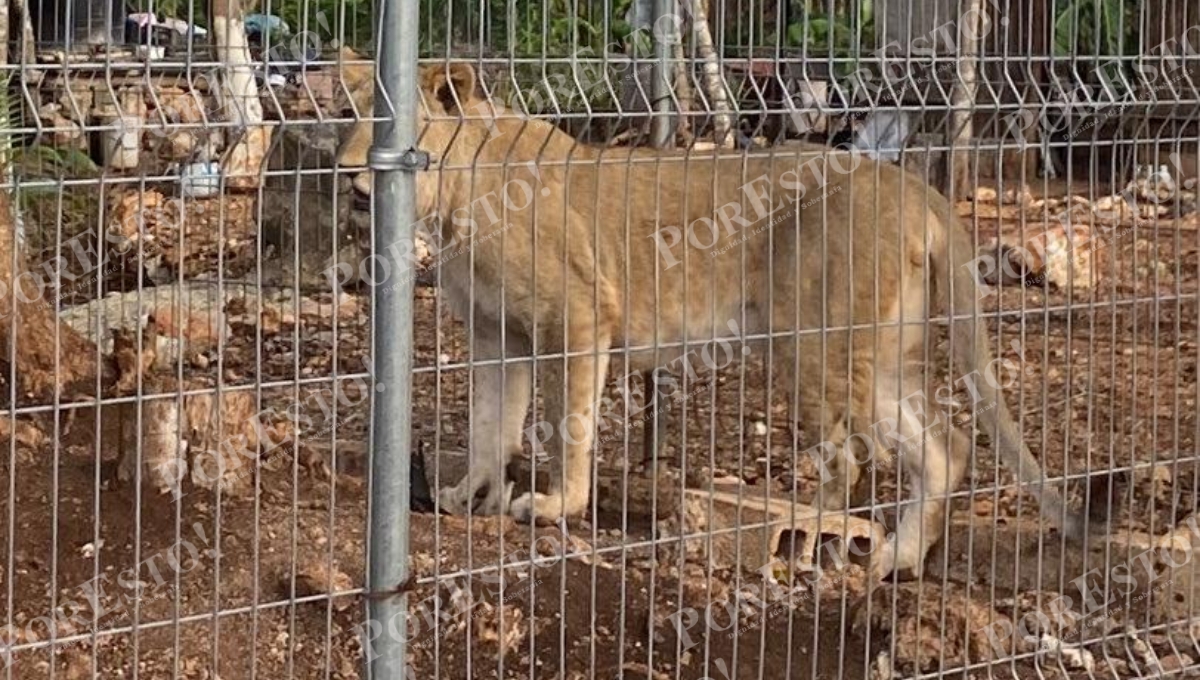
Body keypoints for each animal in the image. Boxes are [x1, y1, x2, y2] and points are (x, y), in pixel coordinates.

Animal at [333, 59, 1094, 580]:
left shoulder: (576, 319)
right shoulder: (498, 335)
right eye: (345, 112)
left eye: (394, 124)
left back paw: (803, 545)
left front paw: (554, 507)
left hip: (807, 342)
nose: (347, 176)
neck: (456, 195)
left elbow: (568, 426)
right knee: (945, 446)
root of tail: (914, 186)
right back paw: (895, 562)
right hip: (875, 357)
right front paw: (470, 496)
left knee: (850, 458)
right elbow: (492, 422)